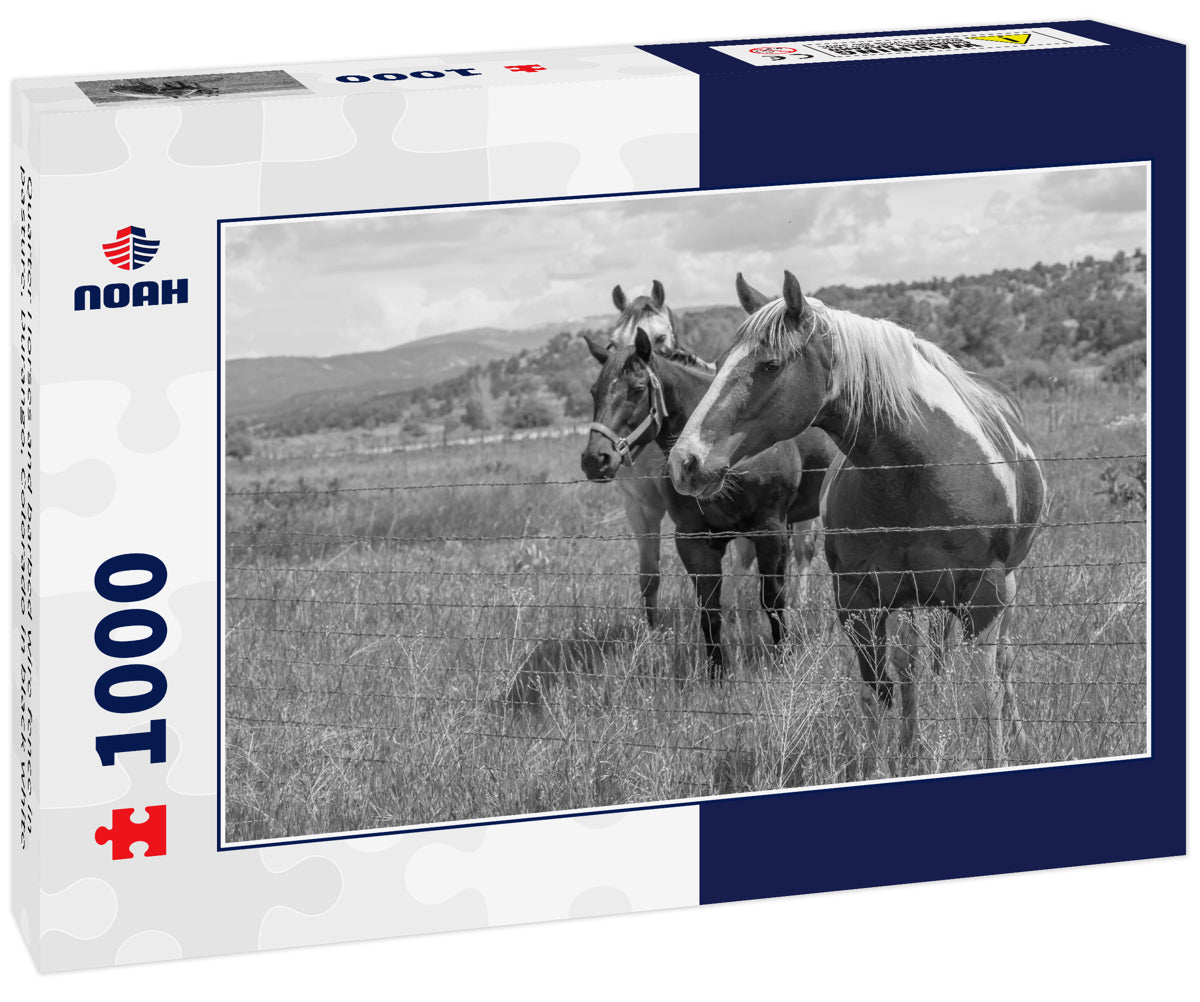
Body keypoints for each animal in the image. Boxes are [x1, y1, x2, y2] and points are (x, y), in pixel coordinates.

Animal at [581, 327, 836, 677]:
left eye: (638, 389)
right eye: (595, 392)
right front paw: (716, 672)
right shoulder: (694, 540)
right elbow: (709, 609)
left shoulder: (770, 531)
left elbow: (772, 599)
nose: (595, 459)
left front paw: (783, 659)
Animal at [669, 272, 1046, 767]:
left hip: (1001, 587)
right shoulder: (858, 602)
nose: (685, 461)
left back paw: (1018, 737)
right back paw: (911, 741)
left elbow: (985, 691)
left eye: (770, 365)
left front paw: (998, 755)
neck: (914, 474)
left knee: (1000, 662)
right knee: (912, 667)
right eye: (717, 364)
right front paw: (884, 761)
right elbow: (878, 691)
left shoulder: (986, 596)